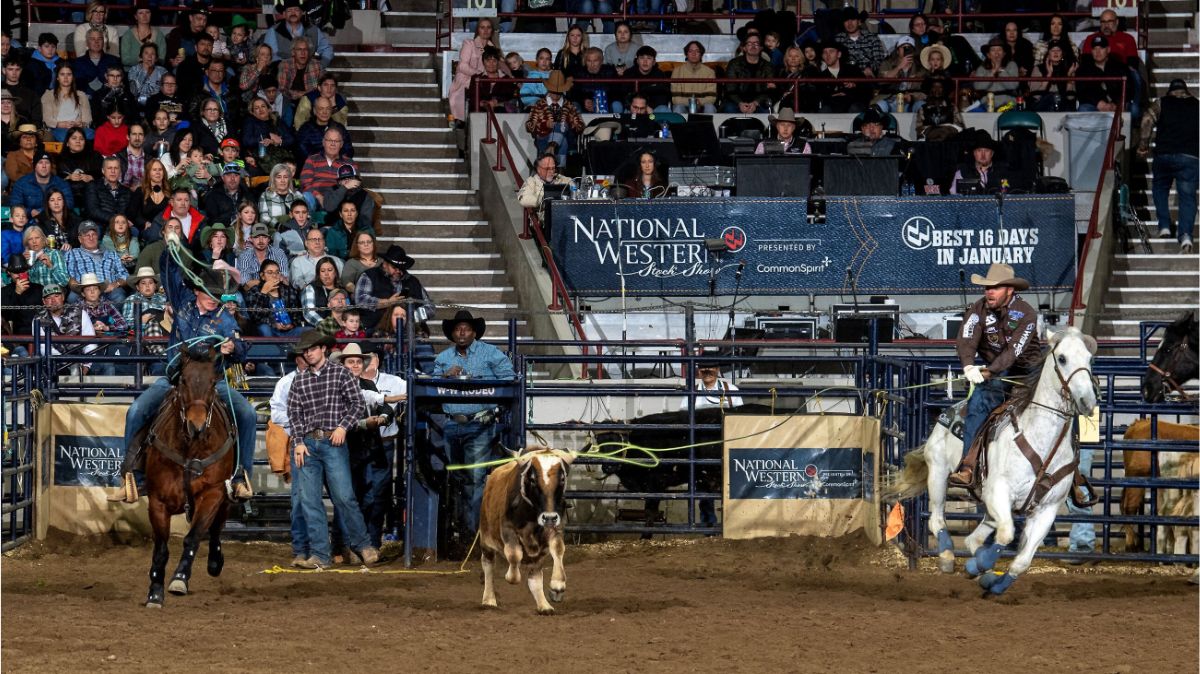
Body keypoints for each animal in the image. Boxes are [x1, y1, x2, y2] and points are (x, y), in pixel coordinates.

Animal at [142, 342, 236, 606]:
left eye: (213, 382)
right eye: (183, 379)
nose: (197, 426)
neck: (189, 448)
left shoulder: (212, 493)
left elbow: (193, 537)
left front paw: (179, 578)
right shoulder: (157, 501)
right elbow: (161, 549)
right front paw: (155, 591)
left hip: (225, 497)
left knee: (216, 529)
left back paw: (215, 561)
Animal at [883, 326, 1099, 592]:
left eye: (1089, 359)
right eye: (1062, 358)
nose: (1087, 401)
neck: (1041, 441)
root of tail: (949, 411)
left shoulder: (1046, 509)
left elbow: (1022, 561)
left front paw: (993, 581)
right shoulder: (999, 491)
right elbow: (1006, 535)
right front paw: (981, 564)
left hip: (986, 501)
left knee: (973, 538)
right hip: (939, 474)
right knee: (937, 520)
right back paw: (947, 557)